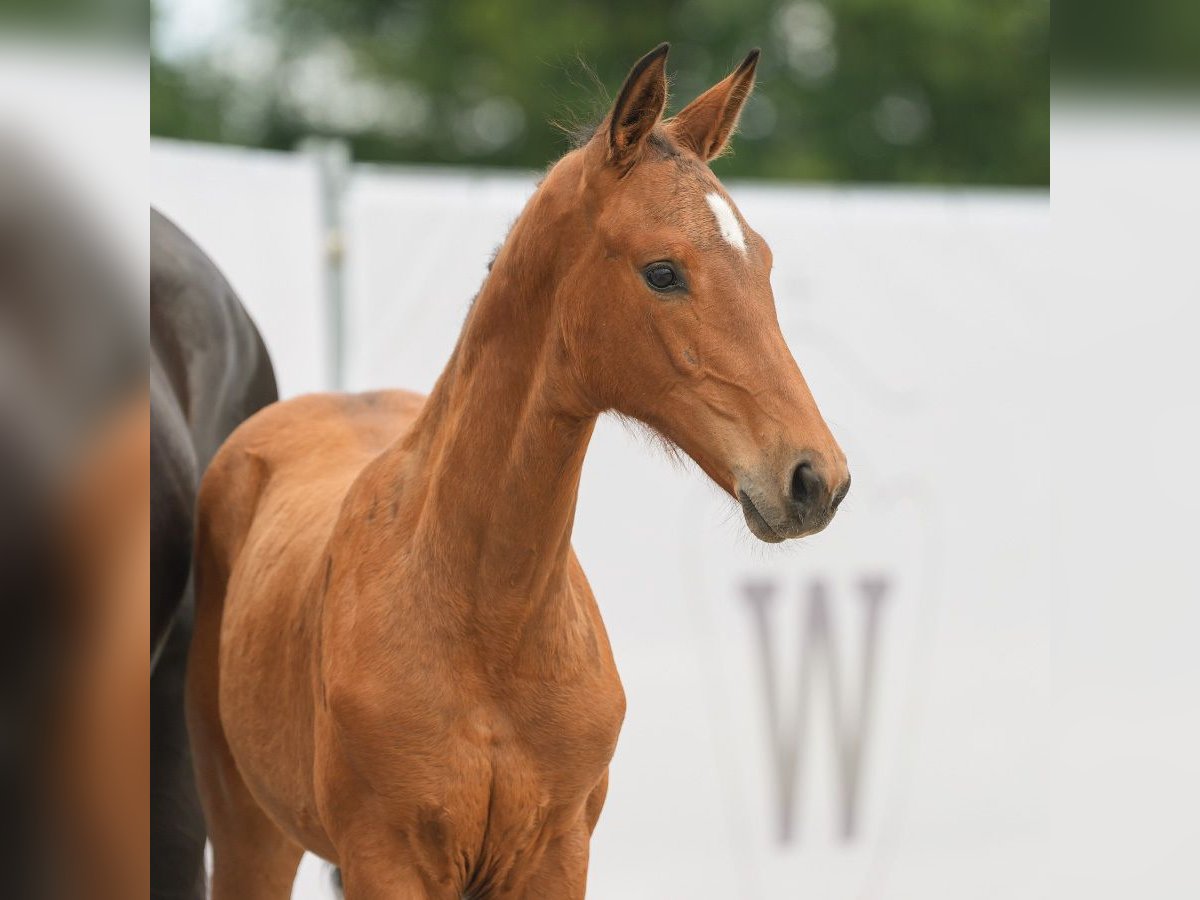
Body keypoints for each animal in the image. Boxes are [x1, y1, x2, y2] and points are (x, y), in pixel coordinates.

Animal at [187, 45, 849, 897]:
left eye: (763, 260)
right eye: (663, 272)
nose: (814, 478)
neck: (488, 625)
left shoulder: (557, 852)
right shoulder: (384, 857)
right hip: (249, 829)